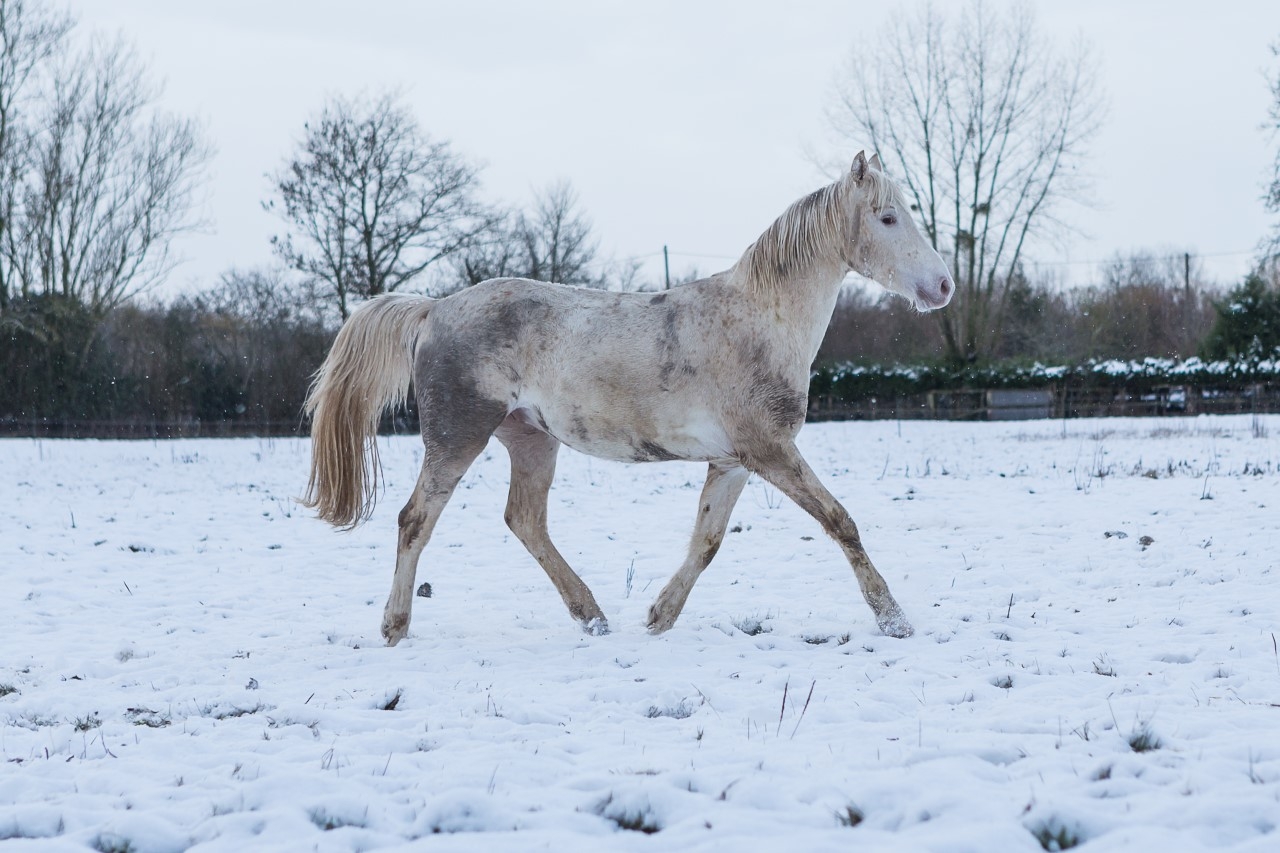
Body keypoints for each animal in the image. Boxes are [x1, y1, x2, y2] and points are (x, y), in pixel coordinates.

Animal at [302, 151, 953, 646]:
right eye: (888, 217)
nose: (943, 286)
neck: (759, 322)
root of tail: (434, 309)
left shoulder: (734, 463)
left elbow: (707, 542)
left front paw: (659, 617)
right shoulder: (771, 454)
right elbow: (841, 523)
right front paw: (894, 619)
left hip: (530, 439)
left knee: (525, 521)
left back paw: (592, 617)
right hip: (457, 437)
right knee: (416, 519)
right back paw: (395, 627)